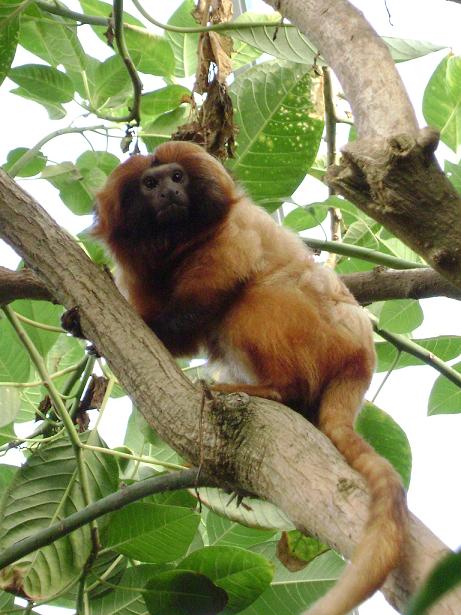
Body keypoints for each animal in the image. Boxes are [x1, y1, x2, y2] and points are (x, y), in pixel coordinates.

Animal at [94, 141, 406, 615]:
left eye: (177, 177)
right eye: (150, 183)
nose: (169, 192)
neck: (178, 244)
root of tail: (359, 359)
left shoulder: (232, 235)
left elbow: (198, 309)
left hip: (318, 329)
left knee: (254, 297)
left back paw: (270, 390)